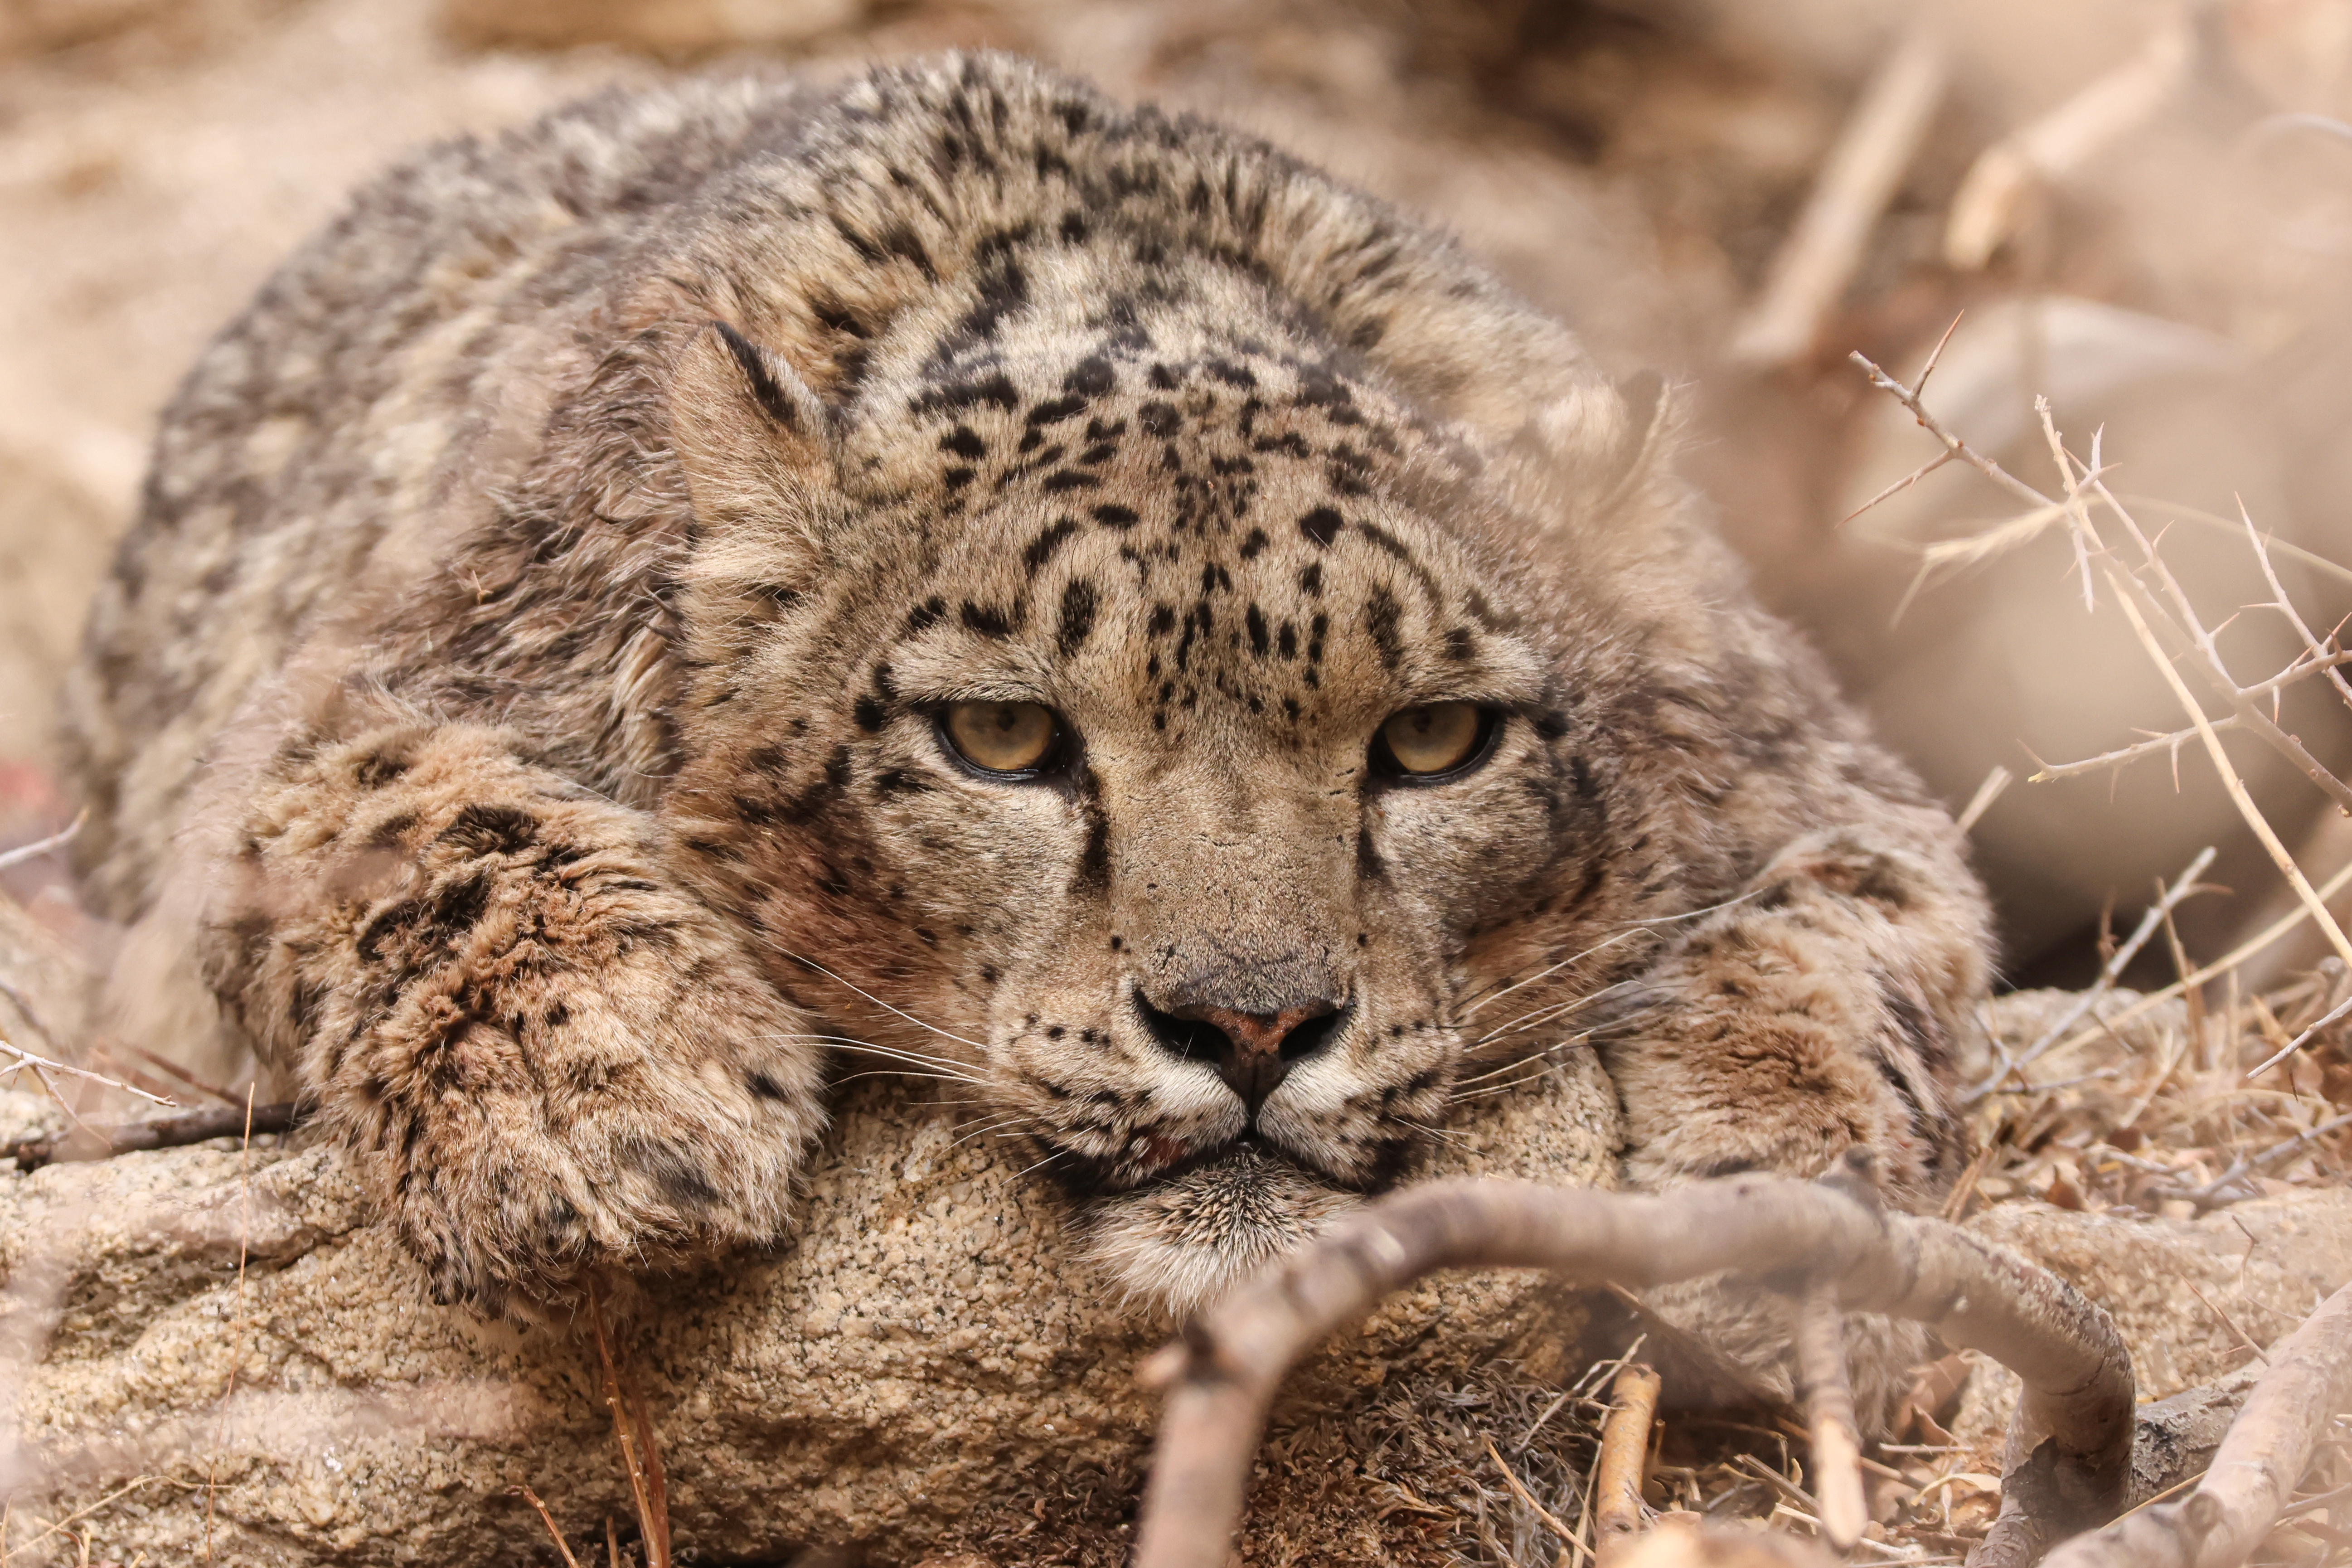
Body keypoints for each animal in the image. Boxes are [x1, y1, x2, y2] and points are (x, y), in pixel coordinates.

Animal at [59, 52, 1985, 1325]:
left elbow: (1852, 913)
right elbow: (406, 812)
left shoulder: (1811, 761)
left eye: (1436, 737)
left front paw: (1791, 1194)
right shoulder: (333, 715)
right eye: (999, 735)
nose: (1250, 1025)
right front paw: (603, 1108)